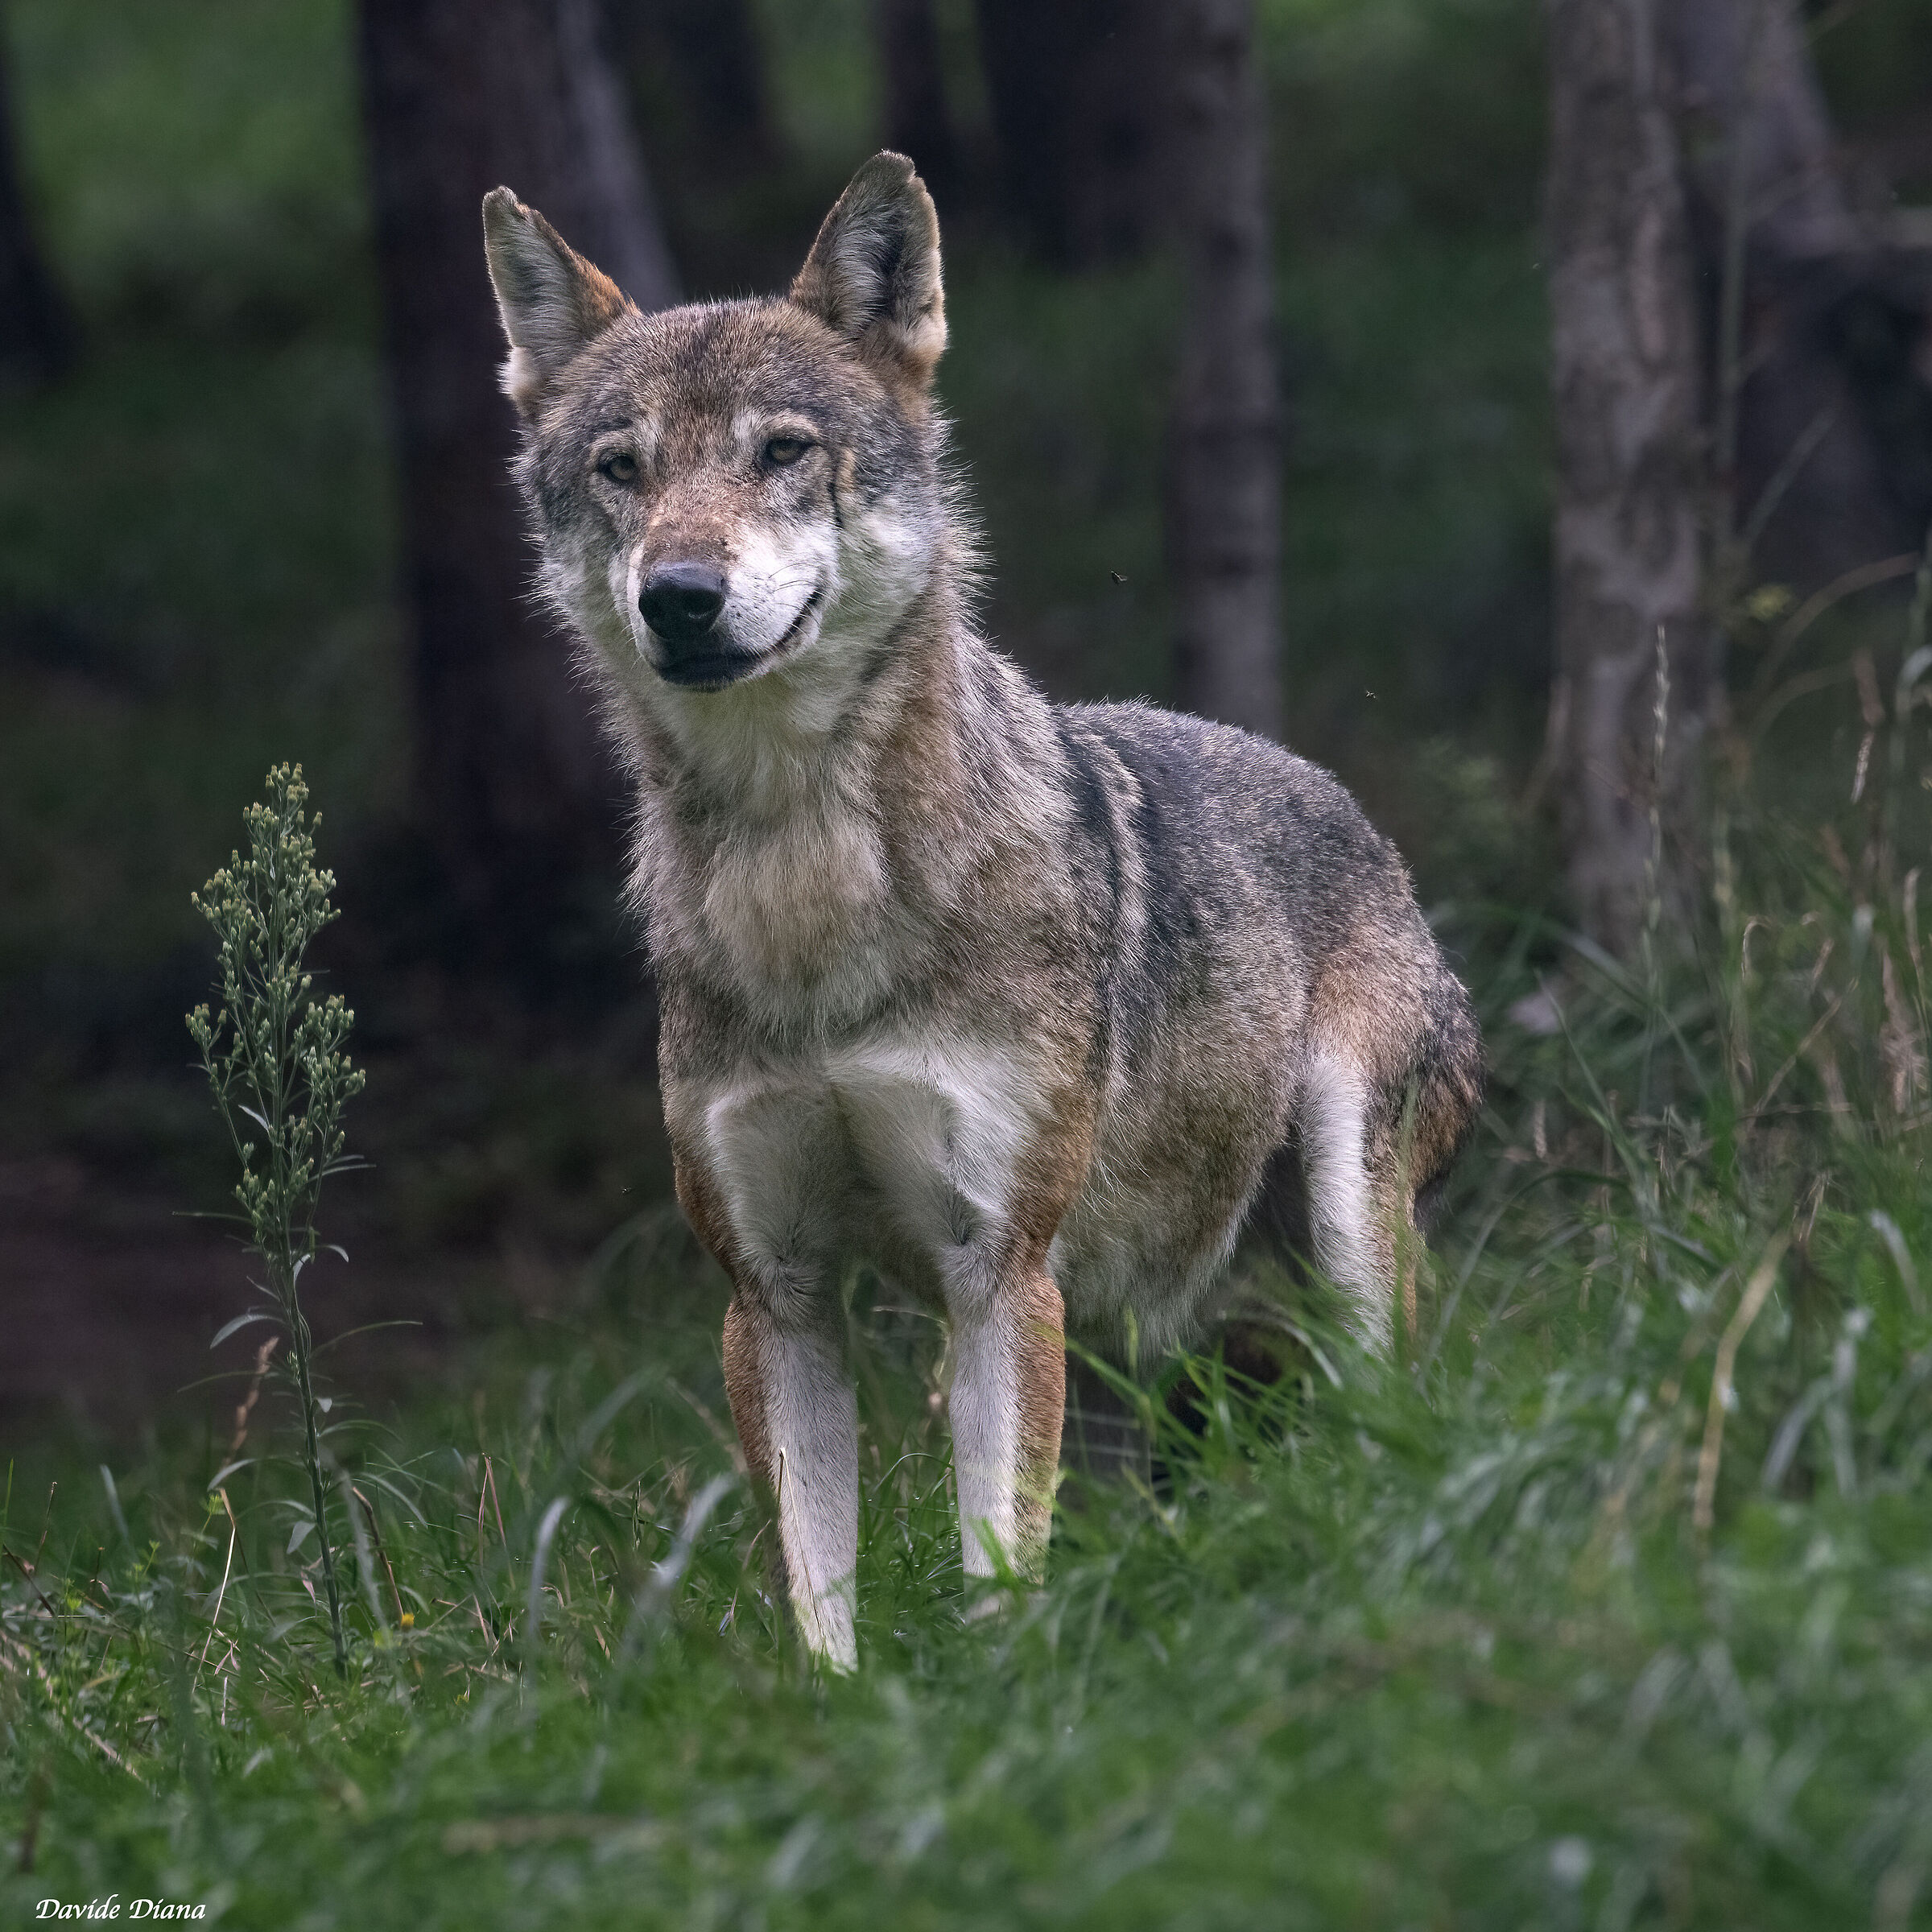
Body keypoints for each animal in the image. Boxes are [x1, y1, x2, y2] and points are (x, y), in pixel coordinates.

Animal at [482, 153, 1482, 1668]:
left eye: (782, 452)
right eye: (621, 470)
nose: (681, 596)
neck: (810, 889)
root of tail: (1358, 815)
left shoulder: (996, 1268)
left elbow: (995, 1562)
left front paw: (1004, 1696)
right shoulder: (774, 1298)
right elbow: (819, 1593)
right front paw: (853, 1710)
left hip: (1335, 1223)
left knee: (1386, 1417)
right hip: (1125, 1328)